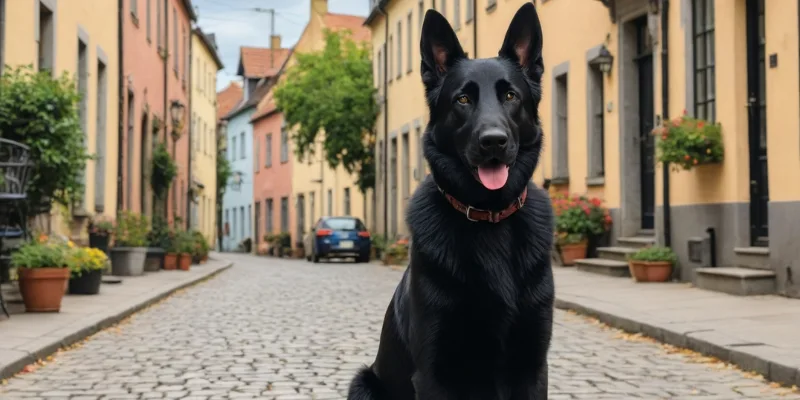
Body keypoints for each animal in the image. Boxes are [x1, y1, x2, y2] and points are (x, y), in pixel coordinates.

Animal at [346, 3, 552, 400]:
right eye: (463, 99)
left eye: (510, 96)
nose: (493, 141)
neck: (489, 215)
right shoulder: (435, 372)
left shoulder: (532, 367)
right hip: (363, 382)